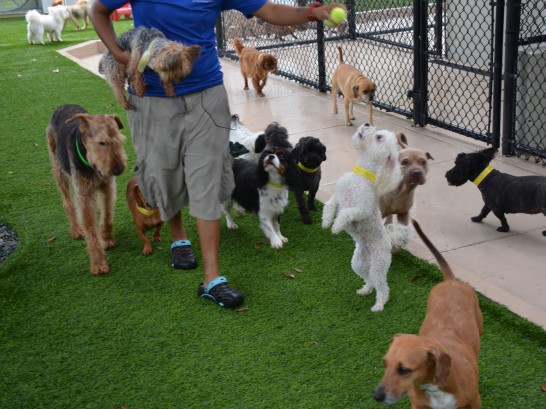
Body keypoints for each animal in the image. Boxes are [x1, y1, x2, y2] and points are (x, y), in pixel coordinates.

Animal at [46, 103, 127, 274]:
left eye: (120, 140)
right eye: (101, 142)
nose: (118, 170)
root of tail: (63, 105)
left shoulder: (108, 187)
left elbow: (107, 217)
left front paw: (108, 240)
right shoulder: (84, 195)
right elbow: (91, 230)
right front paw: (98, 264)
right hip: (59, 170)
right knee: (68, 203)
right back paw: (76, 230)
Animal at [324, 122, 400, 310]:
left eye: (379, 137)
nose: (367, 123)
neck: (361, 175)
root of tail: (389, 242)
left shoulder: (362, 208)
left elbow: (346, 212)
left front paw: (336, 226)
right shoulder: (338, 195)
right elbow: (330, 205)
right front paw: (326, 221)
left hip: (379, 265)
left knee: (382, 287)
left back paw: (379, 305)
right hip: (358, 263)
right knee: (369, 279)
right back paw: (365, 290)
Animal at [372, 220, 482, 408]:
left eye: (404, 370)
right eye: (385, 363)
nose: (377, 396)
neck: (435, 387)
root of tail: (450, 280)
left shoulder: (475, 401)